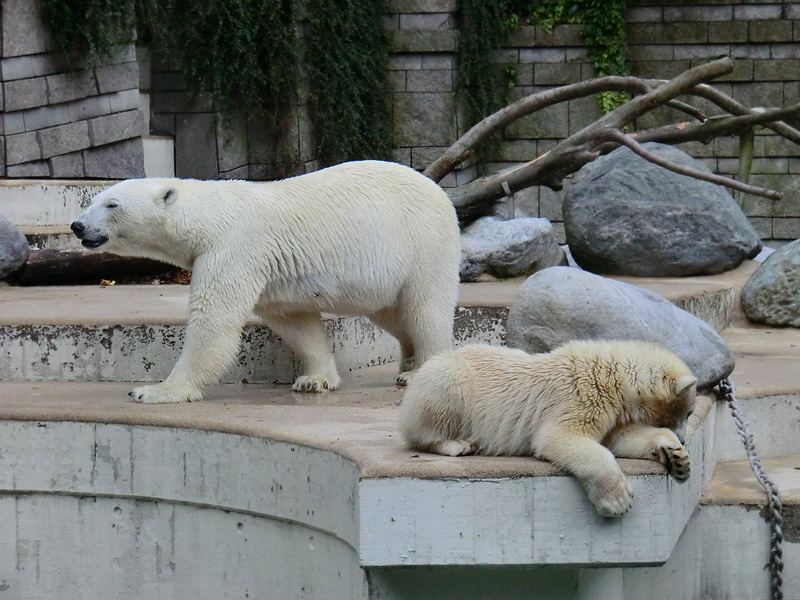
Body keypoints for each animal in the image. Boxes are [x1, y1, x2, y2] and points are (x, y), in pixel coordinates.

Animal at [72, 161, 460, 404]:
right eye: (93, 199)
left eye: (112, 204)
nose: (77, 226)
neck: (208, 217)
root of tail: (439, 190)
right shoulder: (269, 270)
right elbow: (294, 321)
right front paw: (315, 379)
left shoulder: (233, 248)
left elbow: (214, 322)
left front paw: (156, 390)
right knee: (393, 312)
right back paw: (408, 362)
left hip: (424, 242)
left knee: (425, 308)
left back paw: (420, 371)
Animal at [398, 340, 692, 516]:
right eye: (689, 413)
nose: (684, 440)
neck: (611, 376)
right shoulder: (581, 398)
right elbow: (560, 438)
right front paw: (618, 500)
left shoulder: (612, 411)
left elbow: (620, 437)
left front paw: (677, 457)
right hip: (448, 380)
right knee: (439, 400)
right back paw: (457, 444)